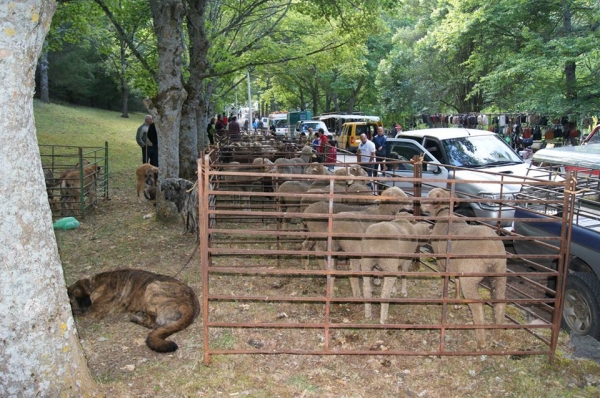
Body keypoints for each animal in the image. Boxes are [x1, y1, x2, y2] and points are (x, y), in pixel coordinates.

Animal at [67, 268, 200, 352]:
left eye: (70, 301)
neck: (93, 286)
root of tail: (191, 307)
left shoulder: (92, 312)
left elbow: (76, 315)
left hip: (152, 286)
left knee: (152, 324)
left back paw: (137, 318)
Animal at [422, 188, 506, 346]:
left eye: (429, 196)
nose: (419, 203)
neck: (444, 214)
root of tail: (491, 249)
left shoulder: (441, 260)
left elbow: (445, 280)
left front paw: (444, 298)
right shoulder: (455, 264)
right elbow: (456, 280)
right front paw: (456, 301)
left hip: (471, 276)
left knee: (478, 305)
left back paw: (481, 341)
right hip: (500, 274)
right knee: (499, 303)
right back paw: (496, 337)